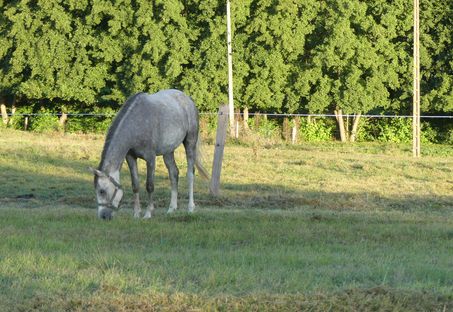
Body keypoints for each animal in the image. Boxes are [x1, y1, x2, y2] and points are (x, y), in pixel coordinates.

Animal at [89, 88, 209, 219]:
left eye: (102, 191)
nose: (103, 216)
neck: (136, 124)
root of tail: (188, 99)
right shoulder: (130, 157)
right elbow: (135, 185)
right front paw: (136, 214)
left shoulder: (150, 158)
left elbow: (150, 185)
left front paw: (148, 213)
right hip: (168, 151)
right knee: (174, 173)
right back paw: (171, 209)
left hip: (190, 143)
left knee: (190, 174)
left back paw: (190, 208)